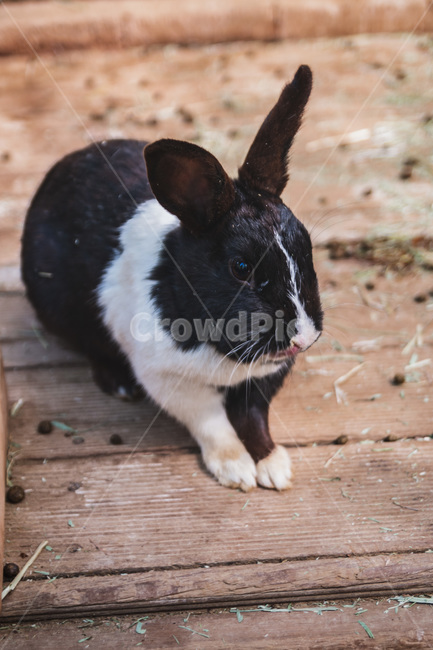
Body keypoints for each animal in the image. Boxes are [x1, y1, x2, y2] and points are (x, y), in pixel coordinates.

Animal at [22, 65, 323, 491]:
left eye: (307, 245)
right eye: (240, 267)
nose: (302, 337)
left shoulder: (263, 379)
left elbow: (253, 418)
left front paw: (273, 466)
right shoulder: (168, 380)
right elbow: (212, 422)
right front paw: (235, 469)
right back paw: (119, 384)